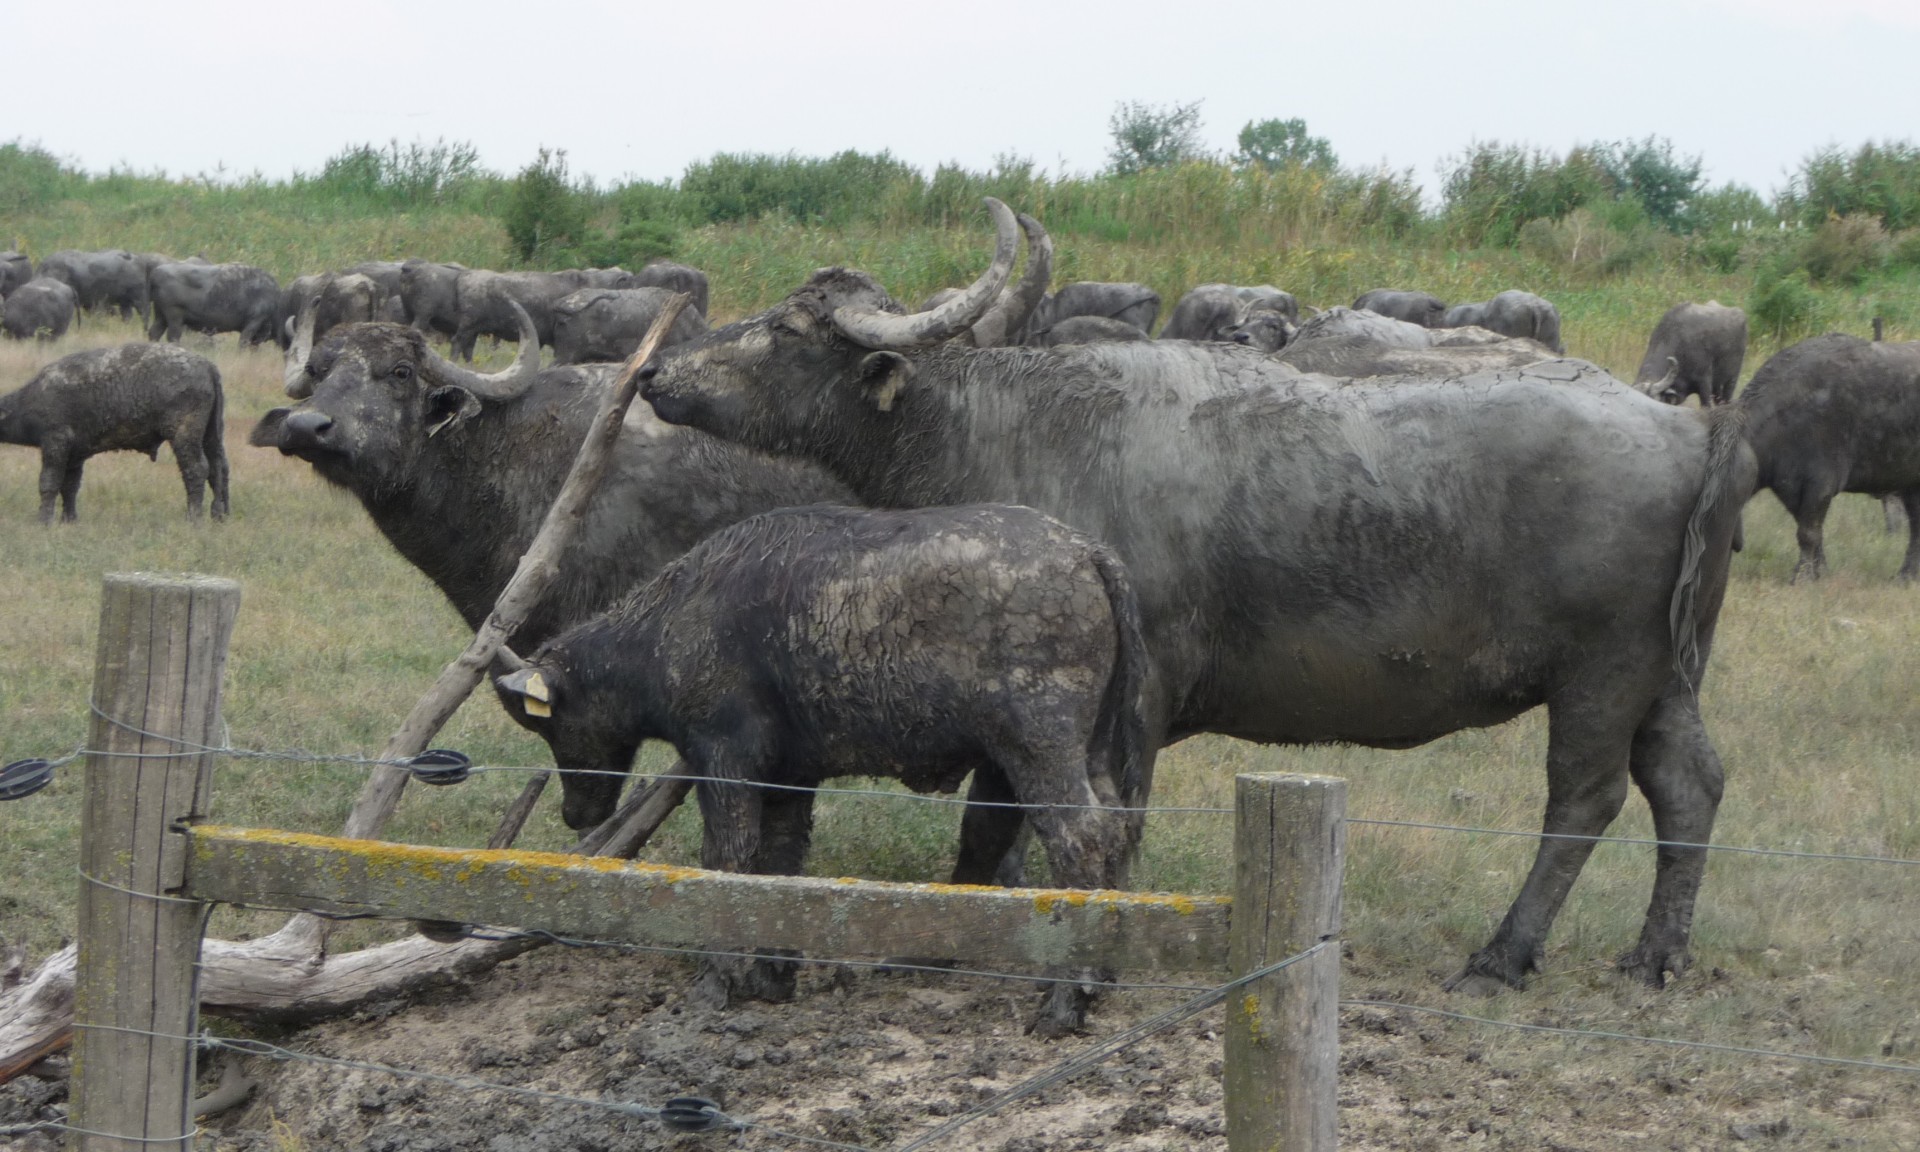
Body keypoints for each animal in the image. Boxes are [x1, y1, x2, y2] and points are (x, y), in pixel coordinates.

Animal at [147, 263, 280, 343]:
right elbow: (243, 343)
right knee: (173, 336)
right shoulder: (253, 323)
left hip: (161, 315)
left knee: (154, 332)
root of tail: (156, 272)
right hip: (174, 316)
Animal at [503, 503, 1144, 1036]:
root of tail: (1087, 550)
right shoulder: (790, 777)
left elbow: (728, 860)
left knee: (1081, 838)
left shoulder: (725, 760)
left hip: (1038, 749)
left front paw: (716, 983)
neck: (675, 618)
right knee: (1078, 831)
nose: (574, 813)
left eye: (548, 727)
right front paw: (771, 978)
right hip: (1070, 754)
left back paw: (1065, 1002)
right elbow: (780, 865)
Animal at [645, 197, 1758, 998]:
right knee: (1689, 784)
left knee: (1585, 801)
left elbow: (1100, 817)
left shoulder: (1126, 701)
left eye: (789, 326)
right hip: (1667, 677)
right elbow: (986, 823)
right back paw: (1656, 957)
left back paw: (1501, 958)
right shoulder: (1009, 700)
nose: (659, 374)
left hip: (1600, 677)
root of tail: (1691, 427)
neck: (1009, 429)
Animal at [1743, 332, 1920, 583]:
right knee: (1916, 525)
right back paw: (1907, 575)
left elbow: (1807, 533)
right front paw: (1819, 571)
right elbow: (1812, 532)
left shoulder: (1820, 484)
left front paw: (1803, 576)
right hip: (1911, 482)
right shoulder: (1789, 487)